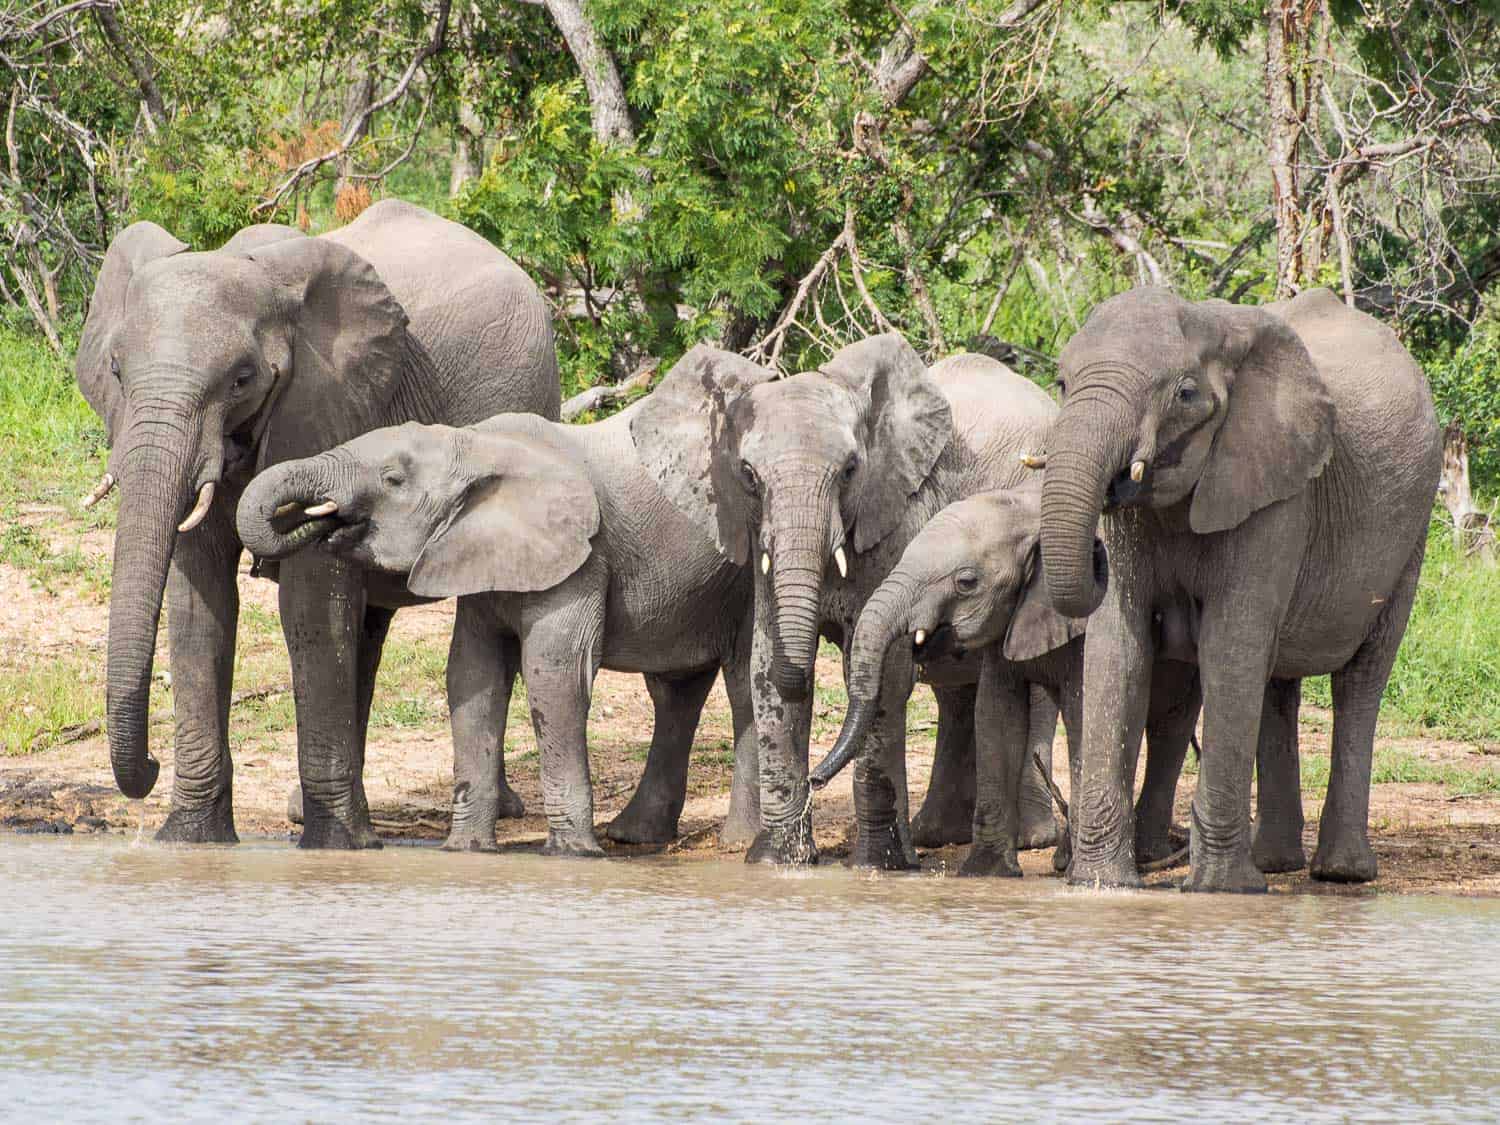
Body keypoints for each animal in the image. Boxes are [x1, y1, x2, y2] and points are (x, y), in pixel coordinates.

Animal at [74, 201, 564, 846]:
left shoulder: (327, 402)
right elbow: (198, 599)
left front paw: (337, 847)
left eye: (242, 379)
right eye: (115, 371)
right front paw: (189, 840)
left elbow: (309, 600)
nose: (151, 765)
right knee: (366, 631)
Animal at [237, 348, 774, 858]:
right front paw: (467, 851)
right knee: (676, 691)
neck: (476, 447)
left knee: (743, 684)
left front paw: (572, 855)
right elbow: (473, 674)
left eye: (392, 479)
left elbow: (554, 674)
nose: (315, 520)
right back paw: (635, 837)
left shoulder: (582, 558)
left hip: (748, 572)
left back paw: (736, 841)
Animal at [630, 342, 1056, 870]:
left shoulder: (896, 521)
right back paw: (935, 835)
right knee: (954, 692)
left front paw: (878, 866)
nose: (817, 778)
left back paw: (1031, 838)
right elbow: (766, 664)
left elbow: (881, 677)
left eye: (851, 470)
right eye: (748, 475)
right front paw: (776, 861)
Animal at [810, 486, 1206, 882]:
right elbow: (996, 716)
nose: (815, 780)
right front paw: (986, 873)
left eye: (966, 582)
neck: (1033, 515)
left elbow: (1082, 716)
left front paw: (1072, 867)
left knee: (1171, 727)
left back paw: (1139, 855)